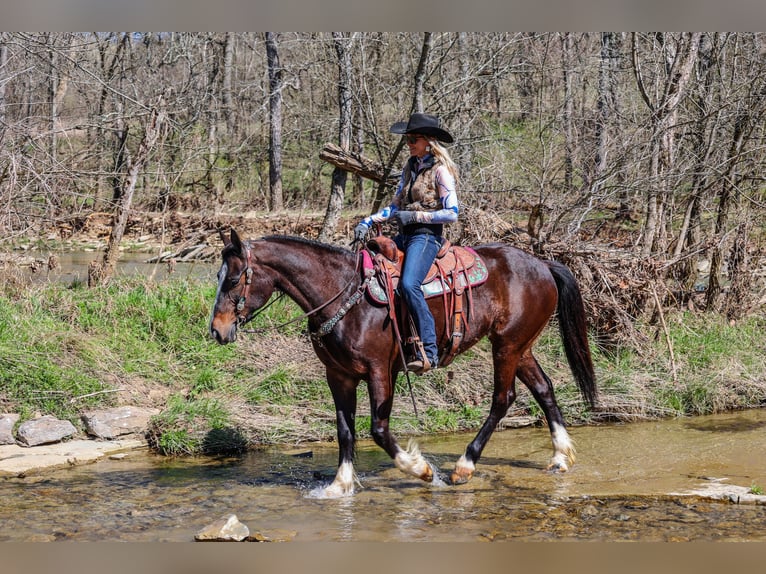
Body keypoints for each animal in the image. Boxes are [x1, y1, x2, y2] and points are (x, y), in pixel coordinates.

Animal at [212, 230, 600, 500]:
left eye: (232, 279)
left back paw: (464, 467)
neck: (342, 295)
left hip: (507, 346)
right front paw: (340, 485)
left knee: (503, 399)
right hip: (519, 346)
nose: (216, 330)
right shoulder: (338, 376)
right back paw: (560, 457)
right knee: (544, 388)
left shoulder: (380, 372)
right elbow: (345, 431)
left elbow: (379, 430)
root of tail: (542, 264)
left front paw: (422, 470)